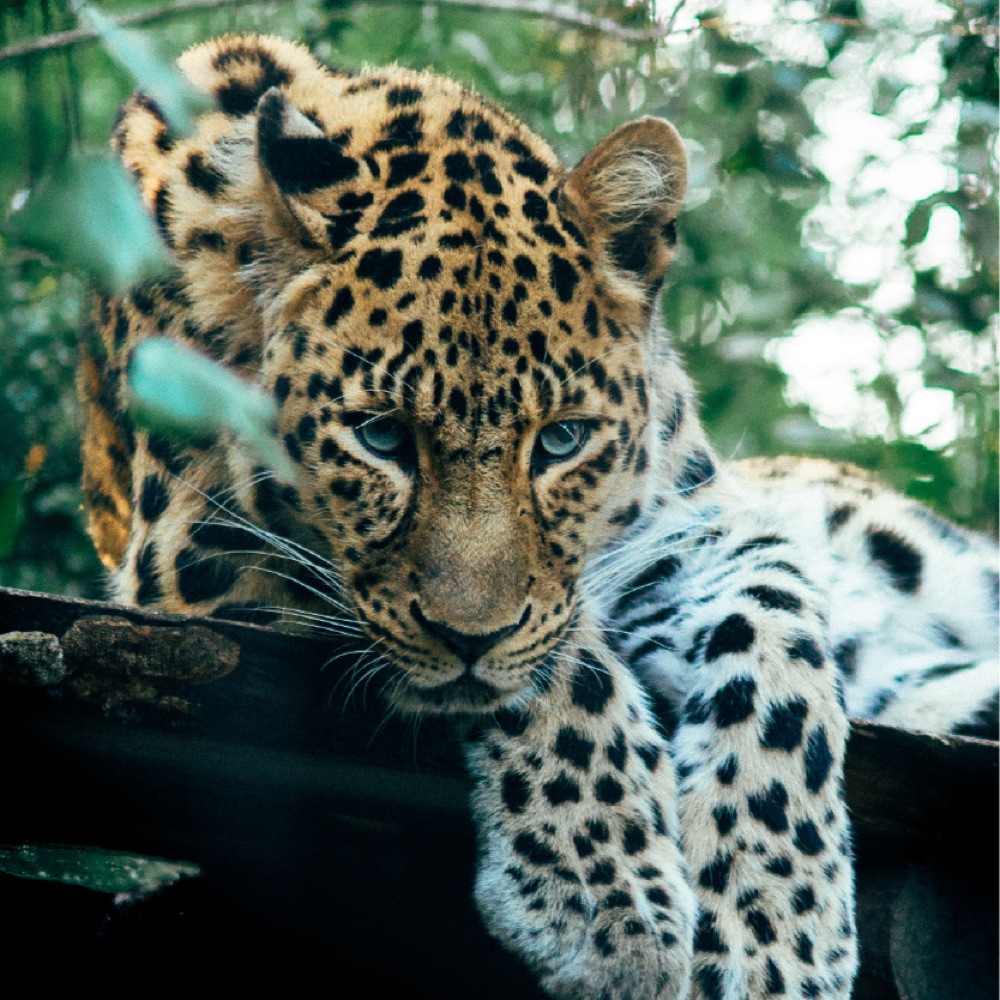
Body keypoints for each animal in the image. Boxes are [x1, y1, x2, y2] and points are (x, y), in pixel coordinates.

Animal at [77, 33, 999, 1000]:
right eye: (380, 436)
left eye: (561, 440)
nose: (468, 637)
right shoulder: (194, 554)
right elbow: (562, 662)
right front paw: (610, 901)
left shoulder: (693, 531)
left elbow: (776, 639)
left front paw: (771, 928)